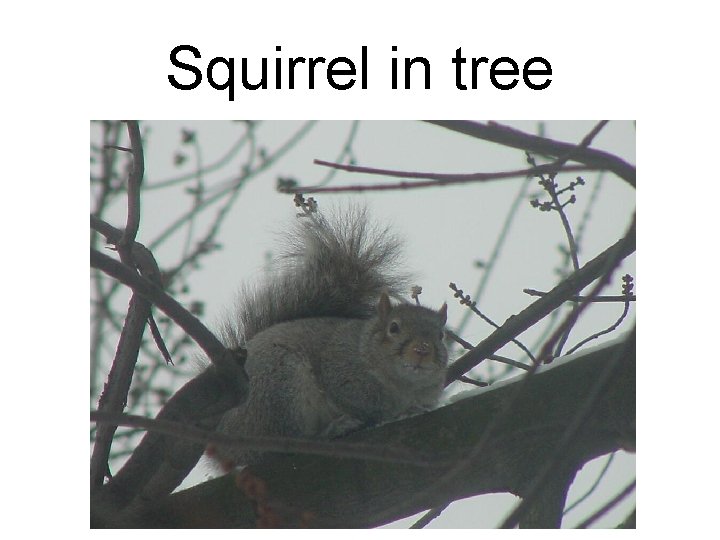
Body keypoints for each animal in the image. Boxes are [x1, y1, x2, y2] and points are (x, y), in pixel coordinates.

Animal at [212, 206, 448, 468]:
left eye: (441, 335)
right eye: (393, 328)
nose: (422, 349)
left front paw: (413, 409)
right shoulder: (341, 367)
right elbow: (360, 401)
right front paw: (390, 412)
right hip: (278, 386)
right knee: (283, 442)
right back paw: (333, 429)